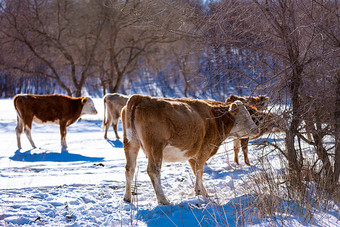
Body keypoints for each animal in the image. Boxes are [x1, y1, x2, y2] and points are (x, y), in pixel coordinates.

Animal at [121, 94, 256, 204]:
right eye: (245, 116)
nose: (256, 128)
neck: (215, 118)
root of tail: (141, 97)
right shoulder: (204, 149)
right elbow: (199, 170)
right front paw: (199, 192)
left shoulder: (192, 154)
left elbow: (196, 171)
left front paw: (204, 193)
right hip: (155, 146)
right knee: (153, 170)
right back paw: (163, 200)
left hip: (131, 143)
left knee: (130, 169)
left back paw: (127, 198)